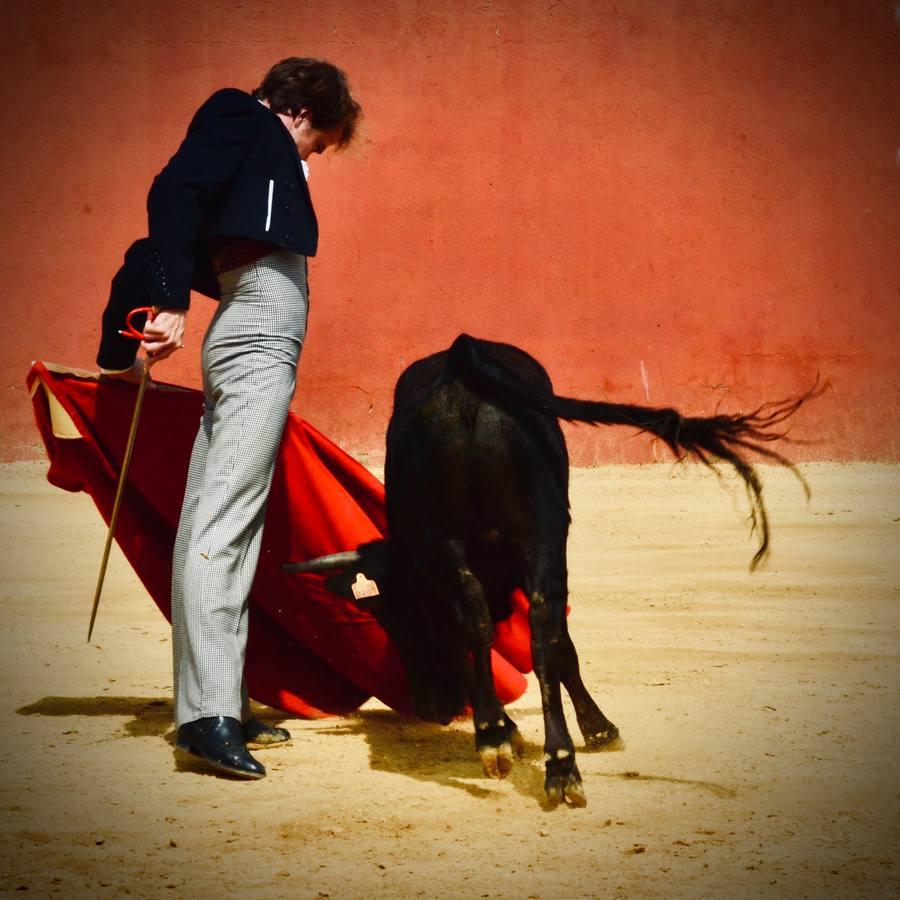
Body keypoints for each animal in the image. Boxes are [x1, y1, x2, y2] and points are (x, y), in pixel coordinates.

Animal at [284, 336, 820, 808]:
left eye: (398, 619)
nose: (430, 708)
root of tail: (461, 363)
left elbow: (497, 643)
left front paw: (519, 727)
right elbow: (553, 647)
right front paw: (591, 730)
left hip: (475, 541)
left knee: (496, 624)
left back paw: (517, 745)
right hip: (532, 537)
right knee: (529, 632)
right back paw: (541, 757)